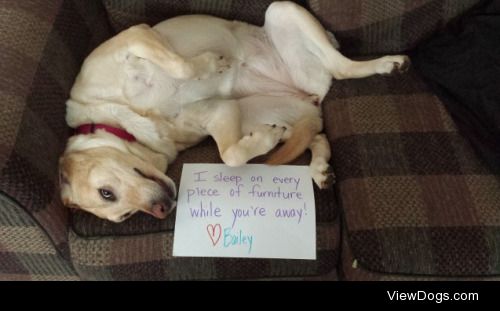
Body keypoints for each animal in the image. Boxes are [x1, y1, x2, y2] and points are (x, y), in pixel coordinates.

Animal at [59, 1, 410, 223]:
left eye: (107, 193)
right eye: (125, 215)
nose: (162, 210)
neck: (123, 122)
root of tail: (308, 91)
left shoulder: (138, 36)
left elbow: (182, 65)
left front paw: (211, 63)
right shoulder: (218, 110)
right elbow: (231, 155)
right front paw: (265, 139)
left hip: (282, 10)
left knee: (342, 67)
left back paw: (389, 63)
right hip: (261, 106)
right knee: (315, 132)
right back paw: (319, 167)